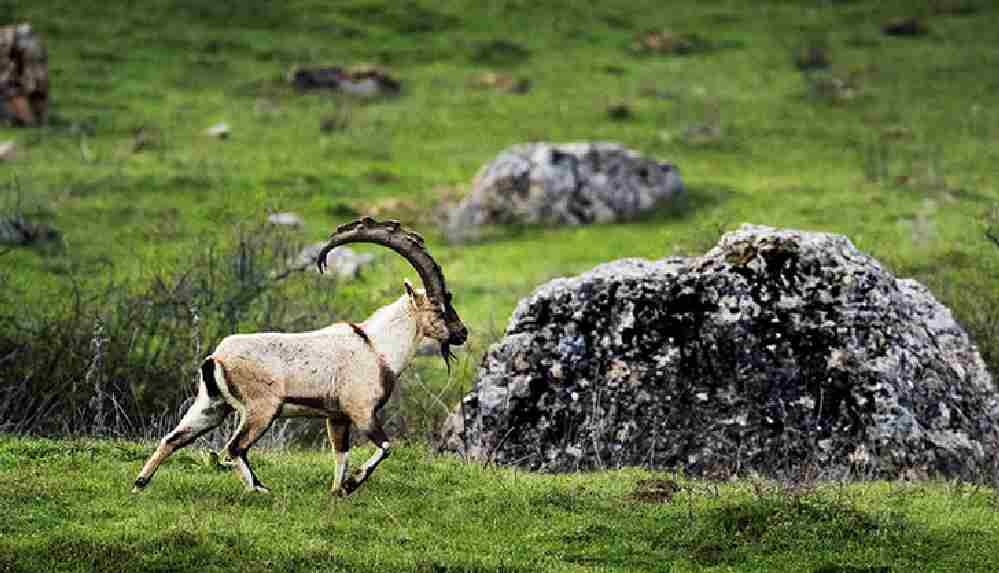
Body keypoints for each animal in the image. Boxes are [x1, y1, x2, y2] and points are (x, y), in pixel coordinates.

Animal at [132, 217, 468, 494]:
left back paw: (140, 483)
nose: (462, 333)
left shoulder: (336, 417)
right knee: (234, 447)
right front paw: (353, 484)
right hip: (261, 409)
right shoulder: (361, 410)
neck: (377, 347)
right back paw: (259, 489)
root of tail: (216, 358)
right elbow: (386, 446)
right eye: (440, 308)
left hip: (210, 405)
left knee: (173, 438)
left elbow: (341, 454)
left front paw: (337, 490)